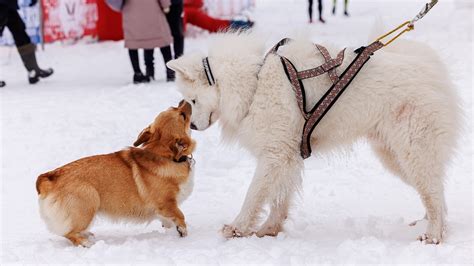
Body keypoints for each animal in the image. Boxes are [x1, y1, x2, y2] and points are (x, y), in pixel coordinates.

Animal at [167, 32, 460, 244]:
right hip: (394, 156)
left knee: (433, 192)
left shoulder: (274, 154)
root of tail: (432, 71)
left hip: (412, 151)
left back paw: (433, 234)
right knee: (436, 191)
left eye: (193, 100)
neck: (254, 82)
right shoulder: (286, 156)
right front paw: (269, 230)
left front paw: (237, 228)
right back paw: (430, 224)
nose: (194, 125)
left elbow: (253, 195)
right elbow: (278, 199)